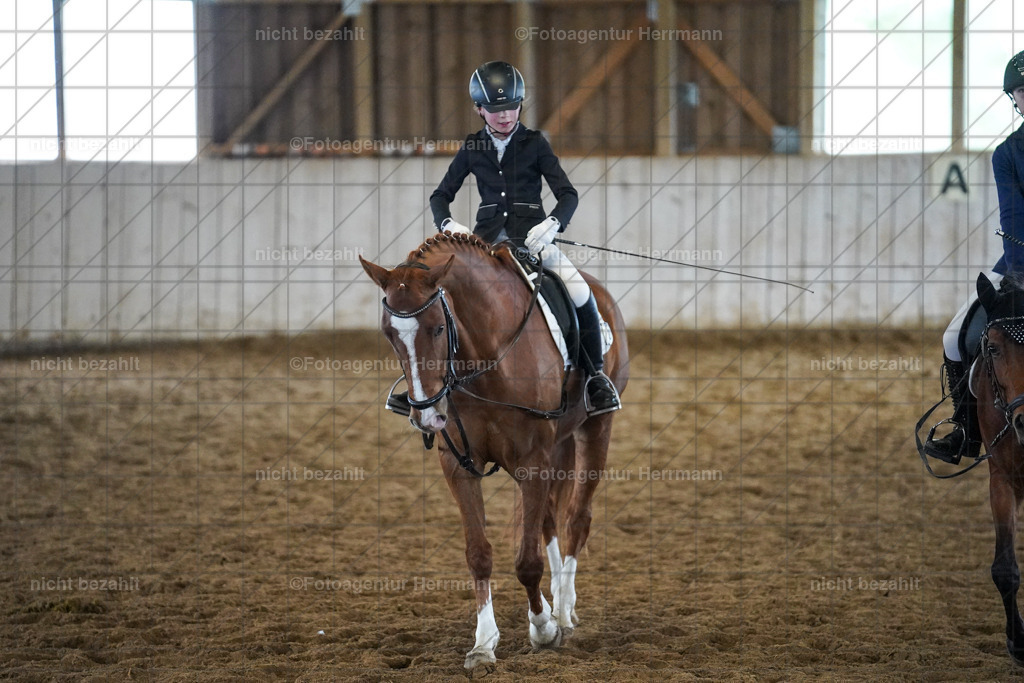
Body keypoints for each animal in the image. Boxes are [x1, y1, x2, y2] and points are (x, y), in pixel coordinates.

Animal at [359, 232, 629, 671]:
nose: (426, 414)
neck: (485, 360)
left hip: (595, 430)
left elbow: (527, 562)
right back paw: (556, 605)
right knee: (550, 521)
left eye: (438, 328)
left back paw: (564, 612)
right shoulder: (459, 466)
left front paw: (543, 630)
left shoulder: (532, 464)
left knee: (577, 518)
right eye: (388, 334)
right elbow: (479, 554)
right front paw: (484, 644)